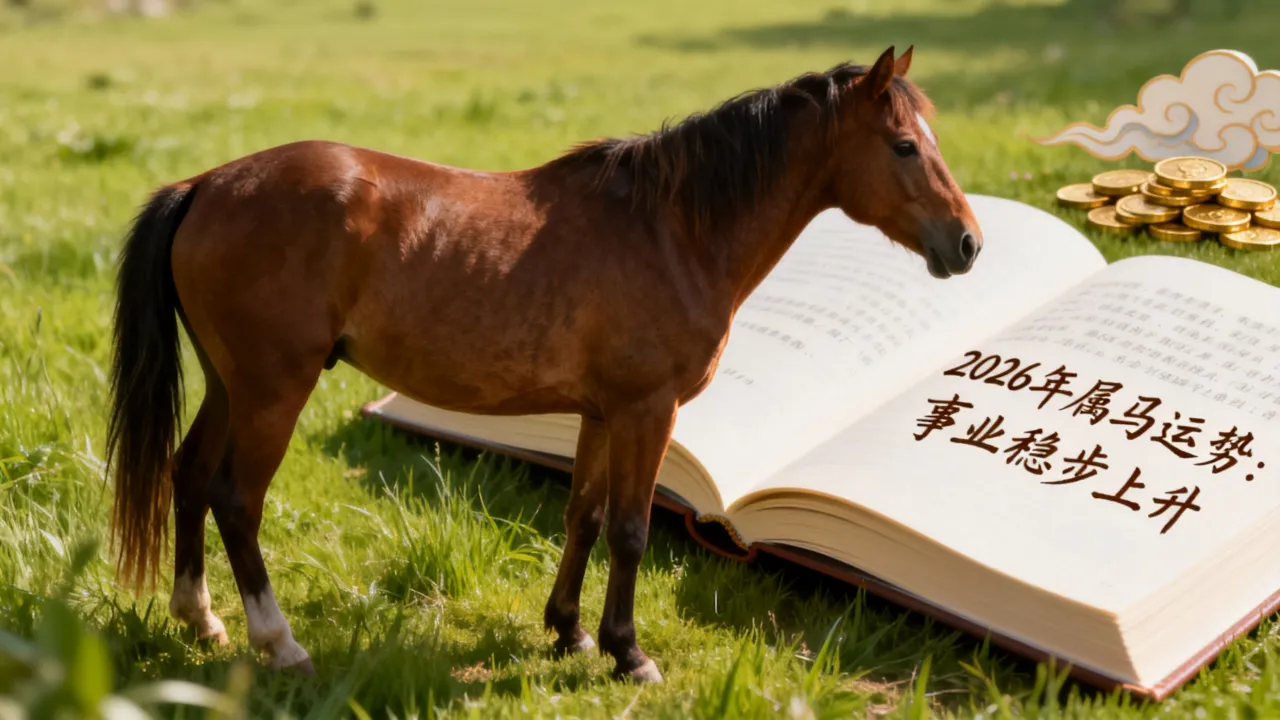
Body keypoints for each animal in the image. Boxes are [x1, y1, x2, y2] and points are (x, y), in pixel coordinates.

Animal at [104, 45, 981, 684]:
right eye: (905, 146)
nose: (969, 243)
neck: (672, 229)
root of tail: (206, 184)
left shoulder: (600, 411)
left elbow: (583, 517)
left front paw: (569, 633)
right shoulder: (648, 409)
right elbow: (630, 530)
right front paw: (628, 652)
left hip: (232, 385)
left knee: (188, 474)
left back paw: (201, 618)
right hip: (272, 392)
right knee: (236, 499)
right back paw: (279, 643)